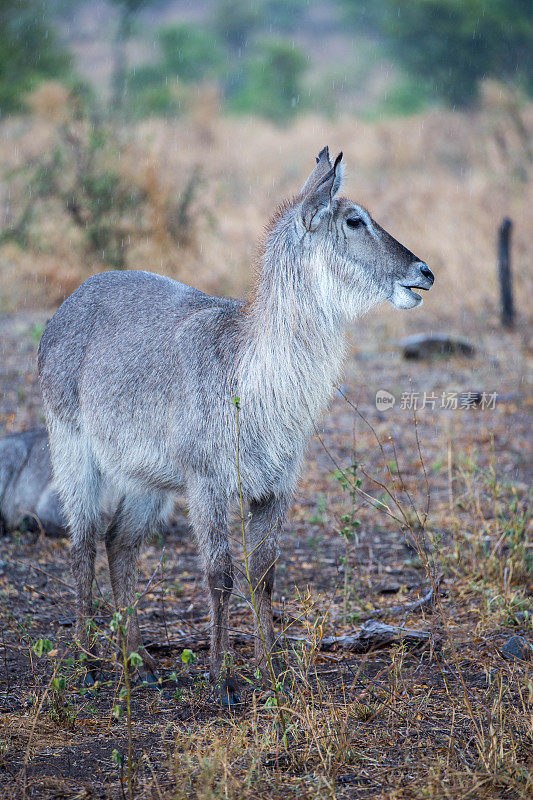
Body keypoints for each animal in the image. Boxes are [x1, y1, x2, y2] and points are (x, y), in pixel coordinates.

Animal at [39, 147, 434, 704]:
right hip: (73, 450)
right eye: (355, 220)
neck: (251, 377)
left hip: (146, 479)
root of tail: (71, 300)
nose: (425, 272)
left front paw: (273, 674)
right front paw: (222, 680)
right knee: (83, 545)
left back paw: (140, 664)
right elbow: (220, 574)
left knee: (120, 544)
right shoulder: (207, 483)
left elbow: (263, 573)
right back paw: (88, 665)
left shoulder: (275, 487)